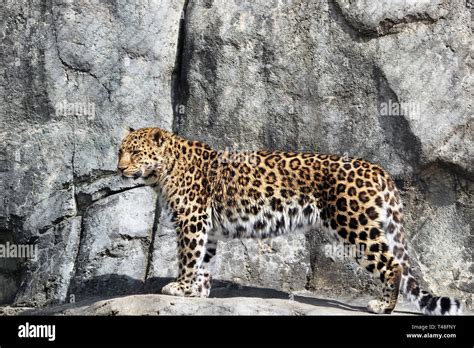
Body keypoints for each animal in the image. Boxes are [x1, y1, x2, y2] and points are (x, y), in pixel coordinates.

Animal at [116, 128, 462, 316]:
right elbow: (204, 259)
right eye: (120, 151)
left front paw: (180, 287)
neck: (163, 171)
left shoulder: (191, 218)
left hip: (355, 225)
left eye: (135, 152)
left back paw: (383, 306)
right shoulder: (207, 226)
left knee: (393, 265)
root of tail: (379, 170)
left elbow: (188, 256)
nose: (119, 168)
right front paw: (198, 292)